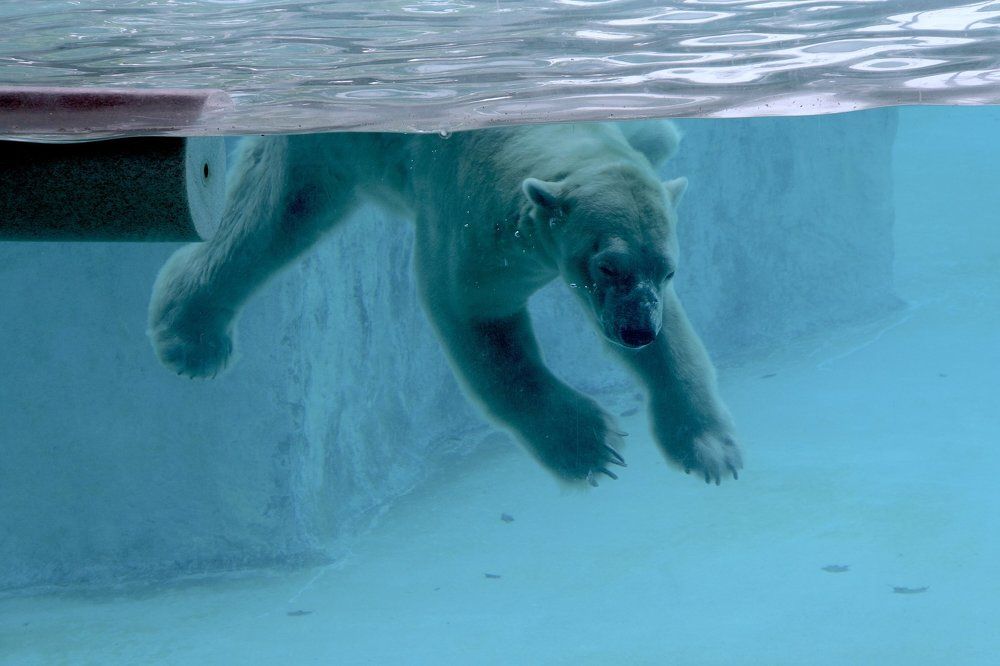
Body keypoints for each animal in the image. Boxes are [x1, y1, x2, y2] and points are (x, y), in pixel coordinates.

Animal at [148, 121, 743, 486]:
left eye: (667, 270)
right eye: (608, 266)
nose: (636, 332)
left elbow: (676, 345)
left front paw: (711, 448)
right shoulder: (480, 224)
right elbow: (482, 324)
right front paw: (590, 444)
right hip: (330, 140)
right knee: (274, 214)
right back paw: (191, 340)